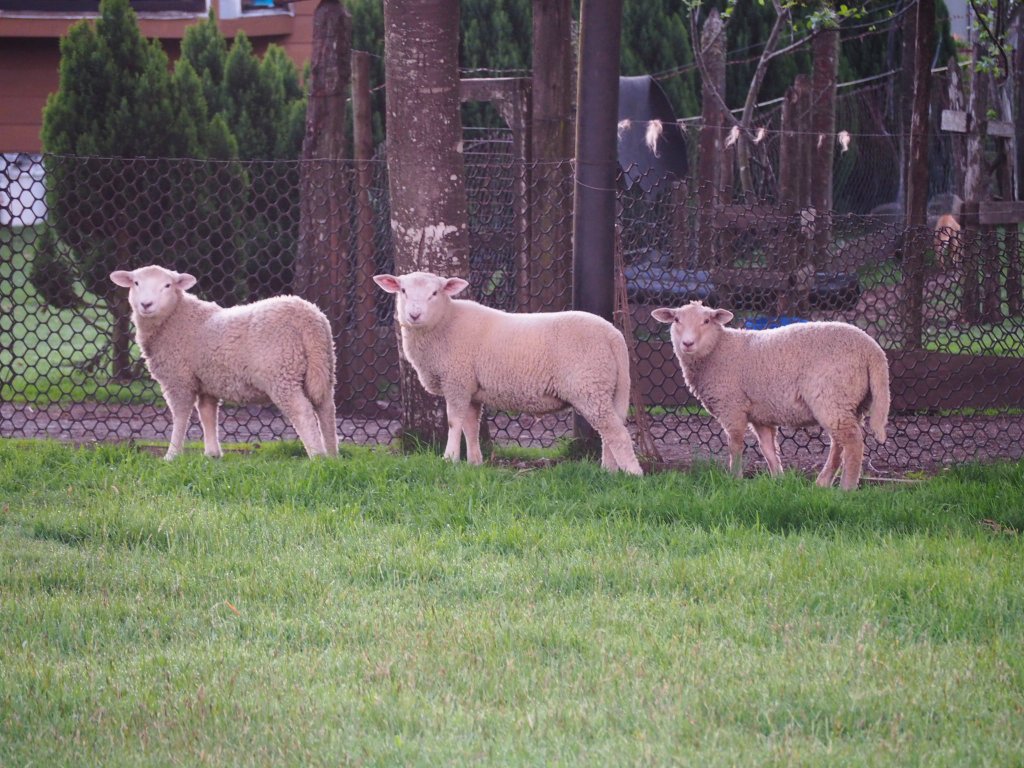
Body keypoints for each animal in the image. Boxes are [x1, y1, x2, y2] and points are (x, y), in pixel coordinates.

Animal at [109, 265, 338, 460]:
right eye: (136, 283)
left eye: (167, 285)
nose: (146, 304)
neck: (174, 318)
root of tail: (308, 317)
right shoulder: (207, 381)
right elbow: (207, 413)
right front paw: (212, 454)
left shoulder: (178, 379)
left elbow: (181, 416)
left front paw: (172, 455)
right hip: (322, 367)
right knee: (326, 408)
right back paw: (332, 456)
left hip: (281, 372)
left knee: (303, 411)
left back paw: (317, 456)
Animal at [372, 270, 643, 475]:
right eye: (403, 291)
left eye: (435, 293)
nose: (414, 314)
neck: (445, 323)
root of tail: (613, 335)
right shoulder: (471, 388)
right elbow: (471, 425)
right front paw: (474, 462)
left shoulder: (456, 381)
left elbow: (454, 421)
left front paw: (449, 459)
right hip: (603, 387)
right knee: (609, 430)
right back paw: (608, 471)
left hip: (589, 385)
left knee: (616, 432)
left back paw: (632, 474)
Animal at [651, 301, 889, 489]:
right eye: (676, 320)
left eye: (707, 320)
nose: (687, 343)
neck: (718, 350)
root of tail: (873, 350)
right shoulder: (760, 414)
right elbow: (768, 449)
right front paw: (778, 480)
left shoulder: (732, 406)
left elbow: (735, 444)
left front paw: (735, 479)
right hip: (850, 402)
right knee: (839, 444)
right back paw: (823, 483)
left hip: (833, 396)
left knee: (852, 441)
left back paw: (846, 489)